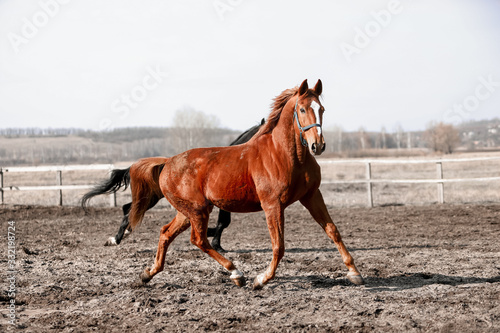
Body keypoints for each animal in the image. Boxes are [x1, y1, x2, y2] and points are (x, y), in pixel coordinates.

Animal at [82, 118, 266, 250]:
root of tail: (164, 162)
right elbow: (223, 222)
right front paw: (215, 242)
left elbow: (224, 222)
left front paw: (213, 239)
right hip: (151, 197)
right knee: (129, 210)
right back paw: (116, 239)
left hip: (152, 196)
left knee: (128, 208)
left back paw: (121, 235)